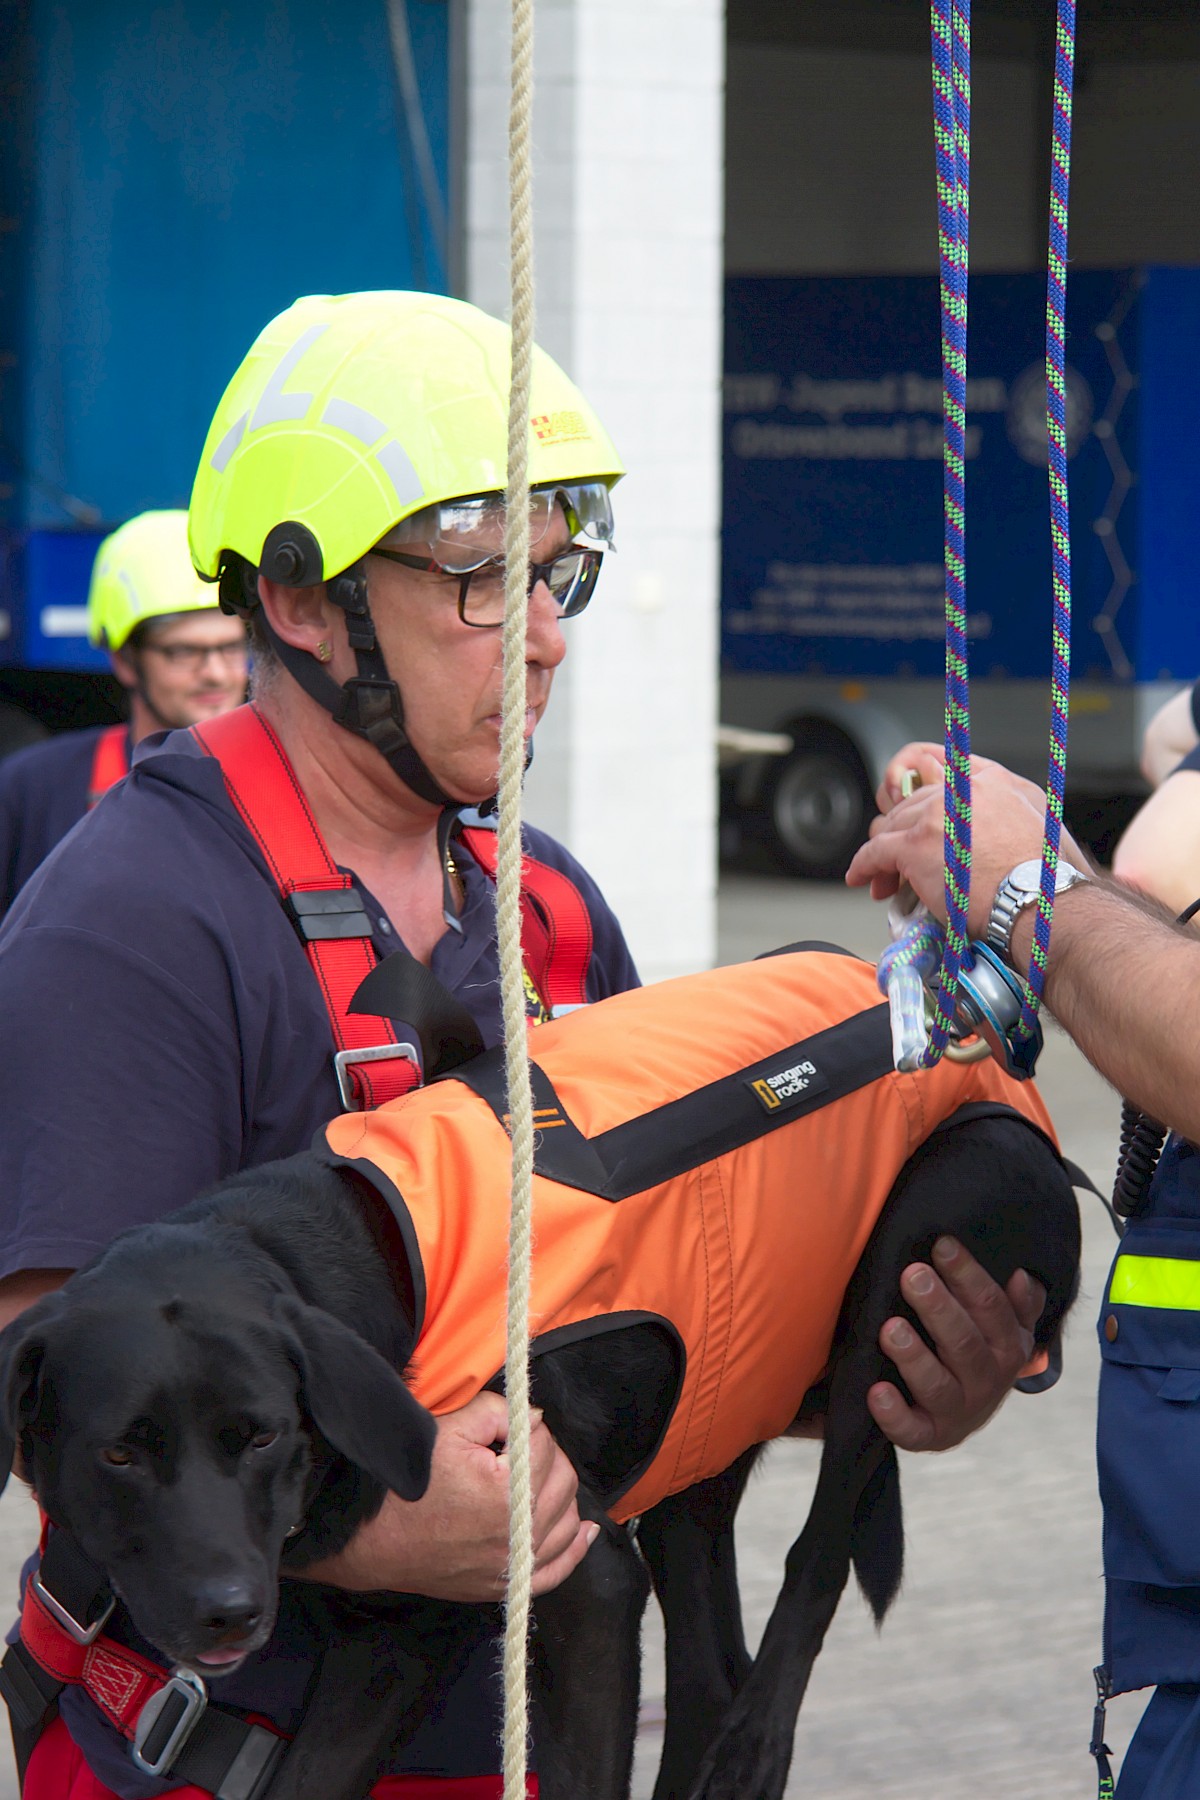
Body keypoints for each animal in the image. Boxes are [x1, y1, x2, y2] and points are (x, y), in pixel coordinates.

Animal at [0, 1116, 1079, 1792]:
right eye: (120, 1456)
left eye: (260, 1435)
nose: (226, 1609)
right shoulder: (387, 1643)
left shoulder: (585, 1583)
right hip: (698, 1438)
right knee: (706, 1675)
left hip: (939, 1219)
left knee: (815, 1559)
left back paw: (758, 1742)